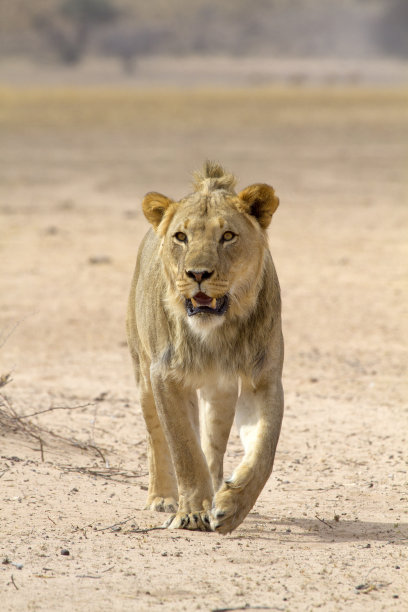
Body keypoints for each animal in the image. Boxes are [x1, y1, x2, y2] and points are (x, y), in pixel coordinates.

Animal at [126, 160, 284, 532]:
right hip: (143, 373)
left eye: (227, 236)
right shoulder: (165, 376)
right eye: (181, 237)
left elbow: (264, 450)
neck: (216, 334)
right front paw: (193, 511)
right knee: (157, 440)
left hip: (220, 393)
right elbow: (183, 447)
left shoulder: (263, 379)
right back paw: (163, 498)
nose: (198, 274)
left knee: (211, 448)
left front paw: (231, 506)